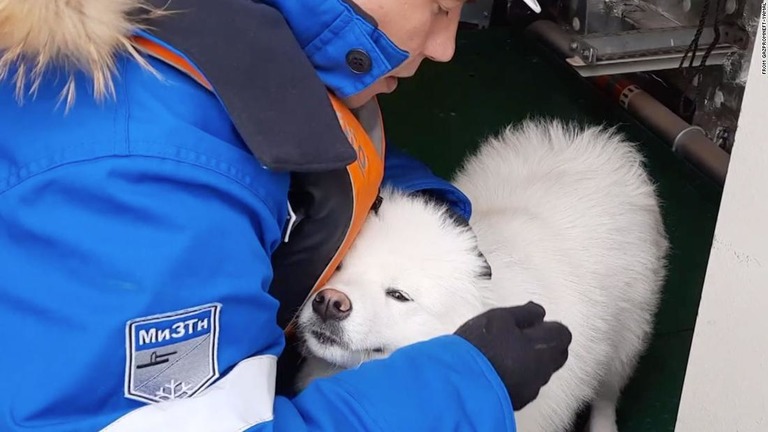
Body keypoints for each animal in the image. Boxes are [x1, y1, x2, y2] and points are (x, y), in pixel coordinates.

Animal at [292, 119, 664, 432]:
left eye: (399, 295)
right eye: (339, 266)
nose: (329, 303)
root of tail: (599, 142)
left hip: (625, 338)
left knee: (607, 393)